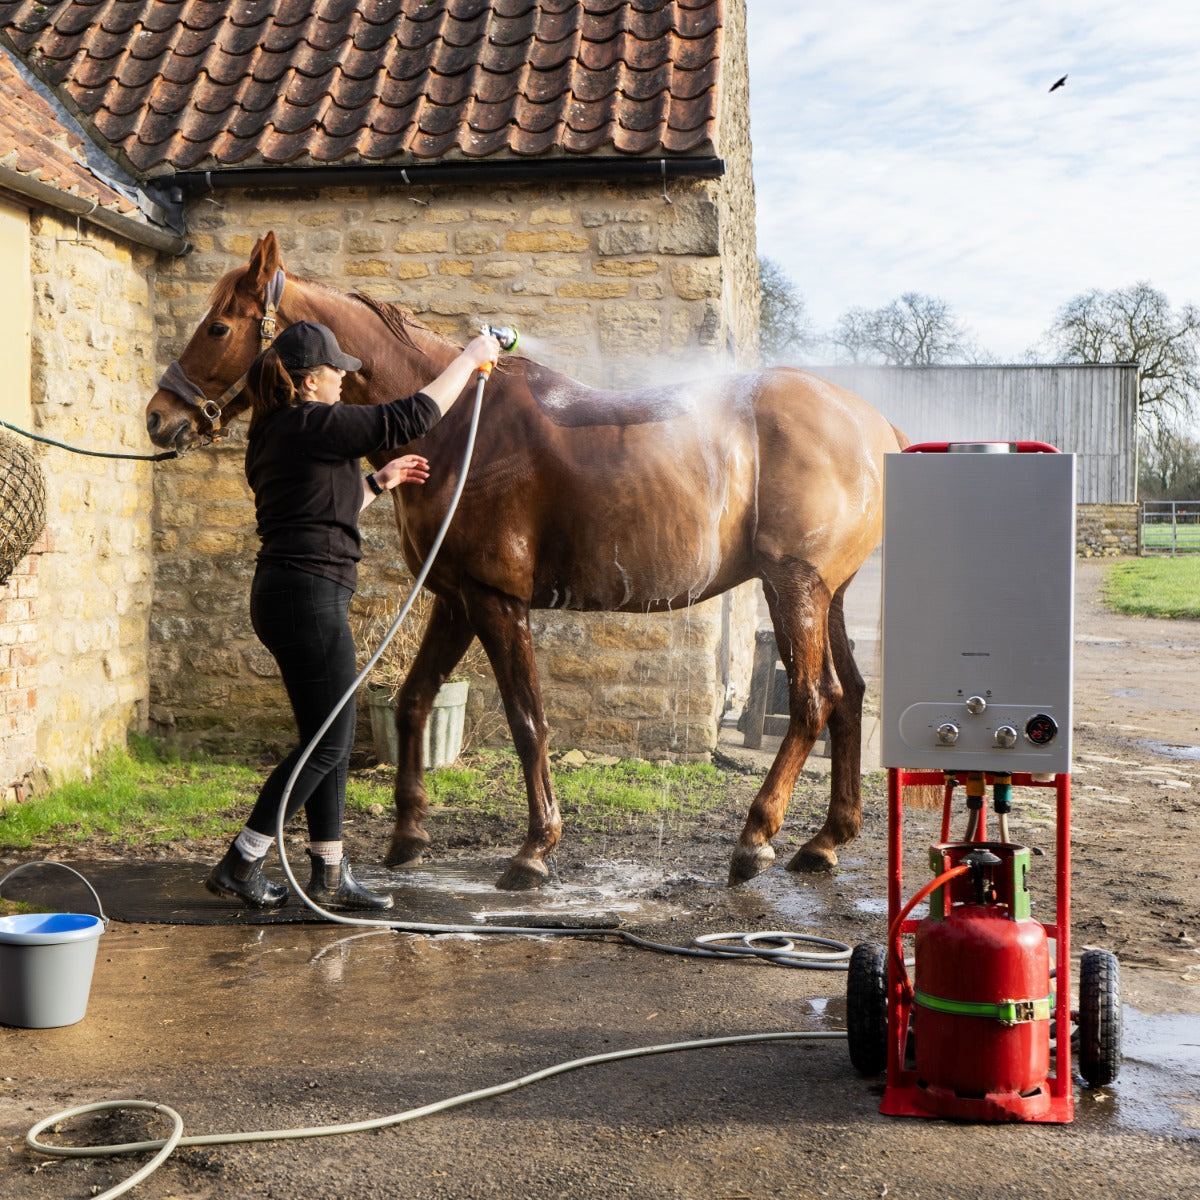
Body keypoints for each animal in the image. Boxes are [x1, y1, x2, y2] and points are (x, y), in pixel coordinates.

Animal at [145, 234, 902, 892]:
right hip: (826, 596)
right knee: (850, 697)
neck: (458, 426)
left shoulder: (496, 600)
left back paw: (754, 840)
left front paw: (534, 851)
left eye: (218, 327)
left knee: (813, 700)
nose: (158, 416)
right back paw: (825, 841)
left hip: (792, 587)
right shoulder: (455, 598)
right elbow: (415, 700)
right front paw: (408, 836)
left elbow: (526, 719)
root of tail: (876, 426)